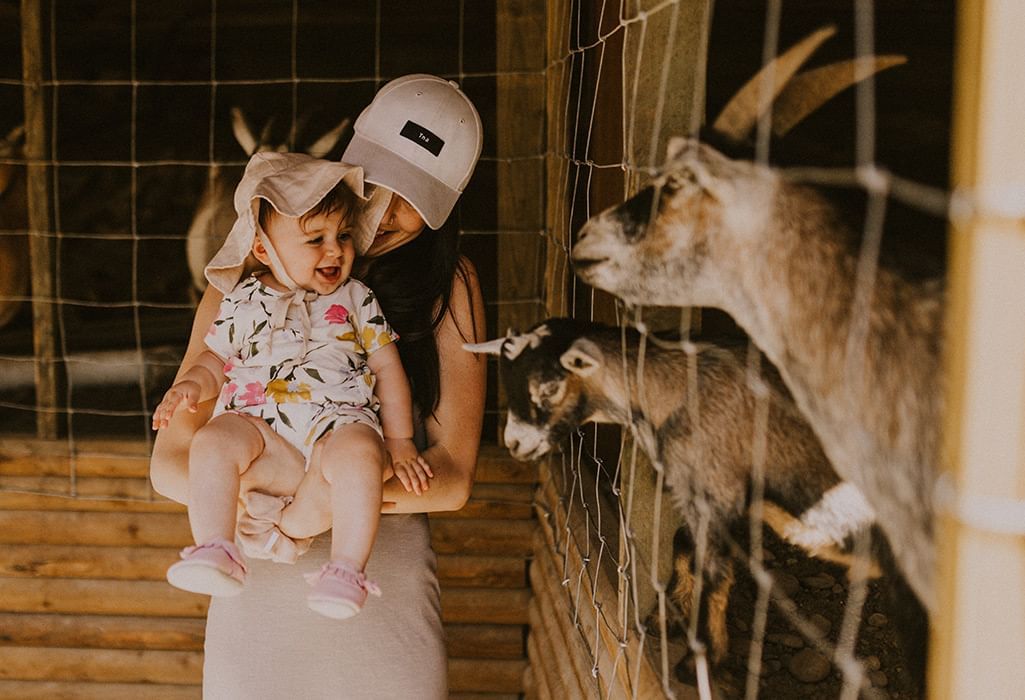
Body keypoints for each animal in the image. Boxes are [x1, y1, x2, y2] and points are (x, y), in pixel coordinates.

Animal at [463, 317, 873, 668]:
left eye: (549, 387)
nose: (514, 443)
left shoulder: (720, 490)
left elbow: (715, 570)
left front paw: (703, 657)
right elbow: (683, 543)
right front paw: (671, 617)